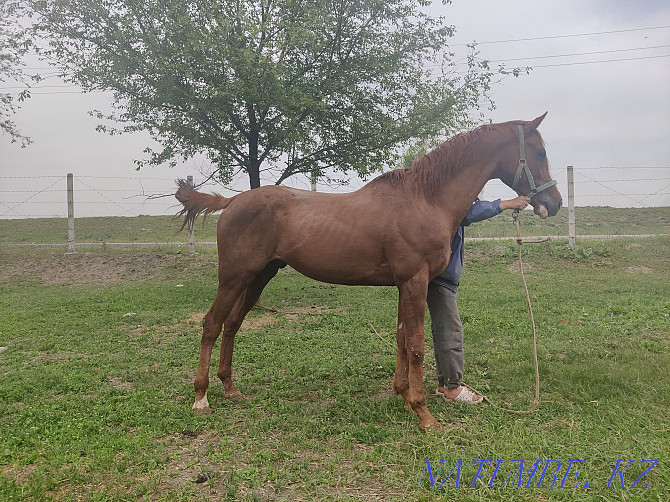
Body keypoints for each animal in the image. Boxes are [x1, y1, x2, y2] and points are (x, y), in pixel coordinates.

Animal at [177, 113, 560, 428]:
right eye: (540, 153)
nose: (553, 203)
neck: (425, 199)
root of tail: (232, 201)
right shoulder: (415, 281)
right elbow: (417, 345)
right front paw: (424, 413)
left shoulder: (405, 285)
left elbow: (403, 340)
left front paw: (403, 397)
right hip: (234, 277)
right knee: (212, 324)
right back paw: (201, 398)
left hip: (259, 276)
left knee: (233, 324)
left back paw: (230, 389)